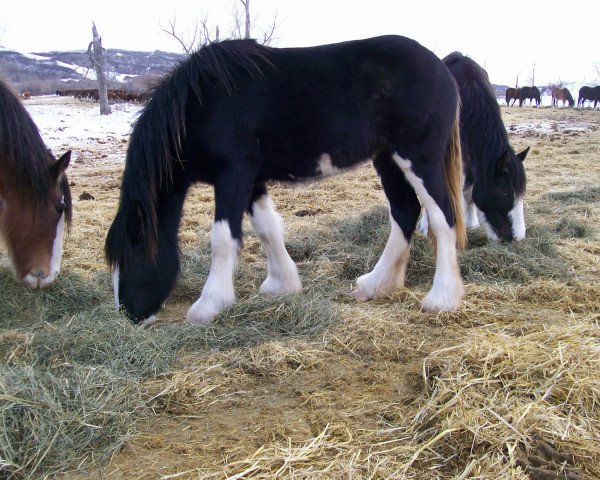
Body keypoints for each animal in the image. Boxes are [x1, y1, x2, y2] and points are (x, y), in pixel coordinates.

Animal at [105, 35, 466, 324]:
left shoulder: (233, 174)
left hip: (418, 158)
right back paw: (375, 286)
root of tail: (442, 69)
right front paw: (283, 285)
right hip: (387, 159)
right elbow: (267, 229)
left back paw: (442, 299)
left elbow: (222, 239)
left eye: (132, 253)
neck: (202, 104)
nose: (130, 314)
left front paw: (209, 305)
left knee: (442, 217)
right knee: (404, 212)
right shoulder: (252, 180)